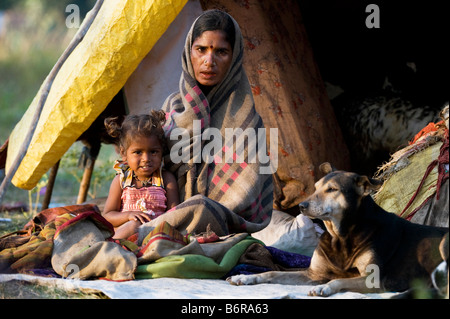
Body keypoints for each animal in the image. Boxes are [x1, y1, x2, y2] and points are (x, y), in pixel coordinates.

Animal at [227, 164, 448, 298]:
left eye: (332, 189)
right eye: (316, 187)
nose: (301, 206)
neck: (340, 236)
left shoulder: (374, 279)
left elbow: (337, 278)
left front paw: (324, 287)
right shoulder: (313, 273)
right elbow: (273, 271)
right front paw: (245, 277)